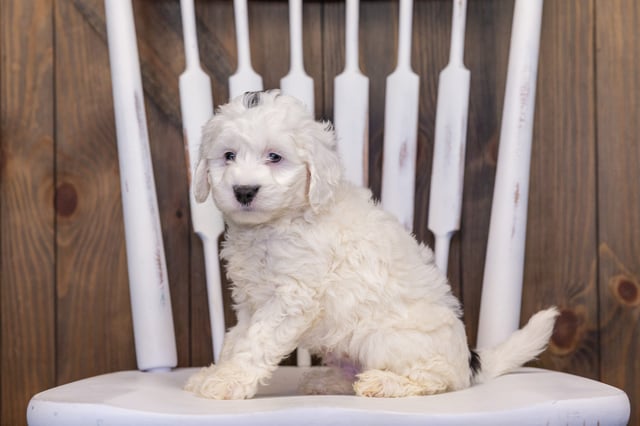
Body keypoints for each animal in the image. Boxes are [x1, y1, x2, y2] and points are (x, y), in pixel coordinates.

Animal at [184, 90, 556, 400]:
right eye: (228, 156)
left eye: (274, 157)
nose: (244, 191)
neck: (276, 223)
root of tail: (470, 360)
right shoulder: (251, 300)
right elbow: (237, 339)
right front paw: (216, 372)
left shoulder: (292, 297)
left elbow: (255, 342)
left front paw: (227, 381)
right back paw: (331, 380)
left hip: (389, 339)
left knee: (437, 379)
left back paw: (385, 383)